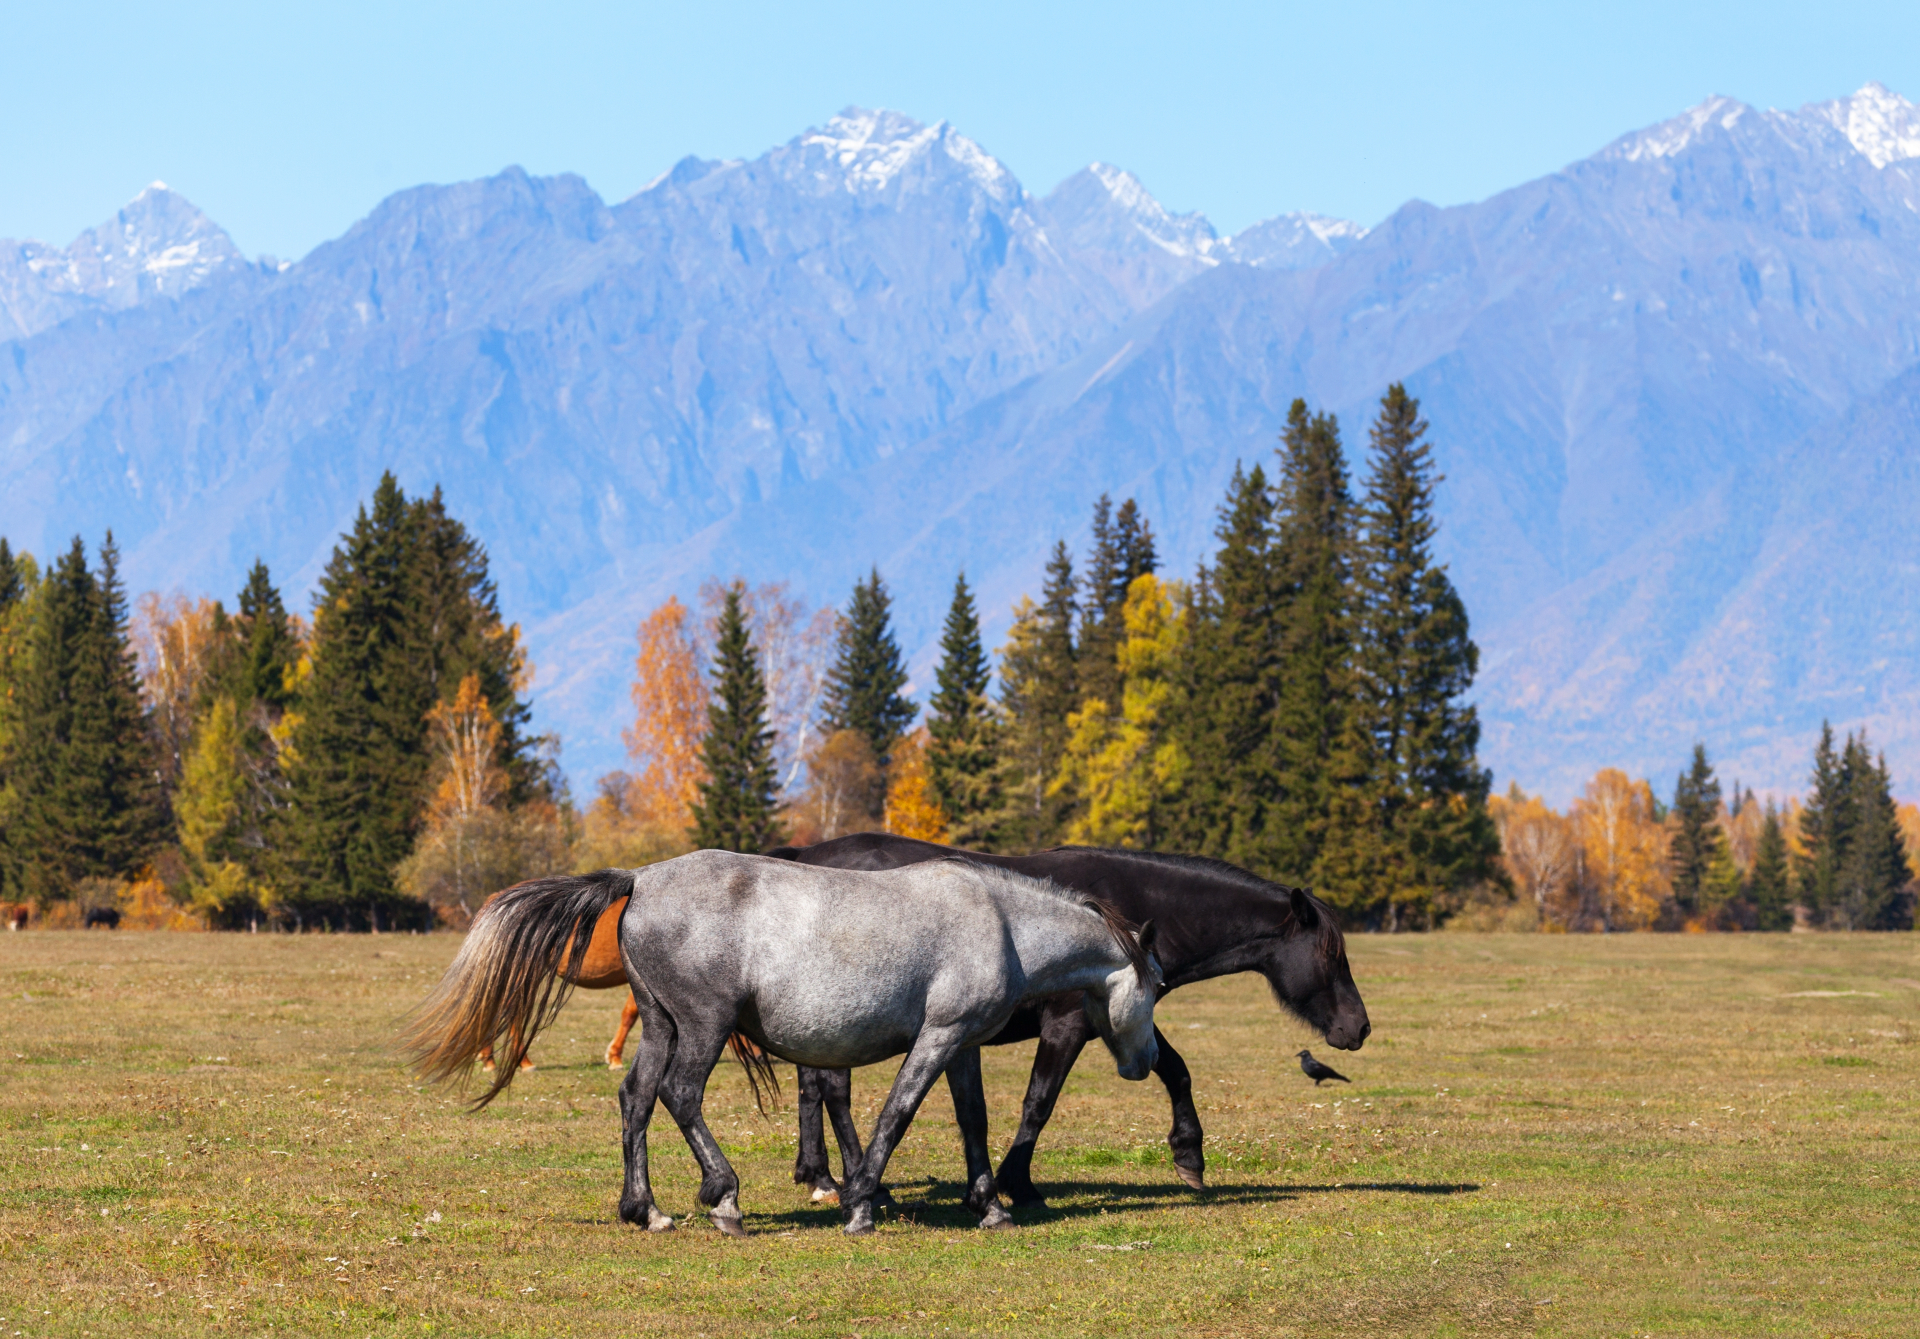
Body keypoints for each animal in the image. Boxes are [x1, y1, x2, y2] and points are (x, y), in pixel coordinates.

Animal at [406, 850, 1163, 1236]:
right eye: (1155, 985)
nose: (1149, 1061)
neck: (998, 919)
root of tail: (640, 879)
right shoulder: (937, 1038)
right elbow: (895, 1117)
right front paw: (860, 1202)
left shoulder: (963, 1046)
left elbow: (973, 1123)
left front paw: (992, 1207)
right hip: (703, 1026)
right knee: (680, 1095)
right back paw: (724, 1200)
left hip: (660, 1024)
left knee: (636, 1098)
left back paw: (646, 1210)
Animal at [765, 833, 1370, 1211]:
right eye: (1332, 957)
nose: (1359, 1027)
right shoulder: (1070, 1027)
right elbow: (1040, 1101)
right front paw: (1018, 1184)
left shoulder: (1123, 1017)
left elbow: (1175, 1069)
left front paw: (1189, 1155)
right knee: (832, 1092)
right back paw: (858, 1182)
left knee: (815, 1089)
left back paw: (823, 1176)